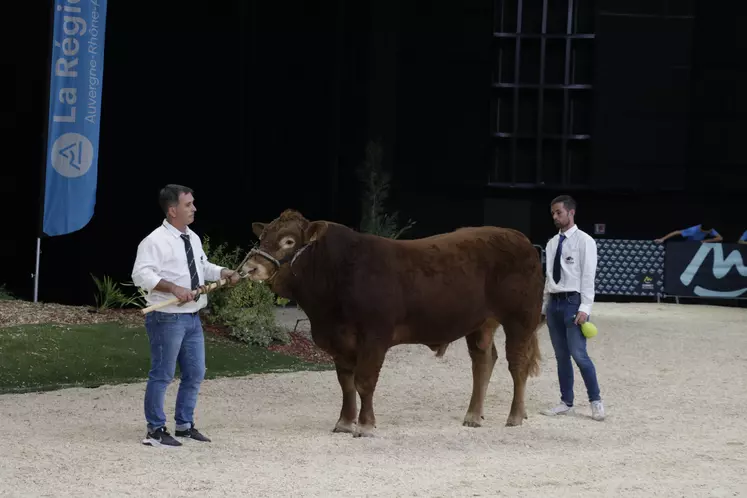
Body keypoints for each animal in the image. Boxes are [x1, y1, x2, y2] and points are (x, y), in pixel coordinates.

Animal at [243, 209, 548, 436]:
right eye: (263, 237)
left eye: (288, 241)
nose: (251, 268)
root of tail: (518, 237)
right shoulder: (340, 341)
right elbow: (346, 383)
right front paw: (344, 422)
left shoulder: (374, 336)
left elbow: (365, 381)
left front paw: (365, 425)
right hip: (481, 322)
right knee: (483, 361)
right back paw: (473, 415)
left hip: (521, 317)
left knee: (517, 363)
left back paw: (515, 416)